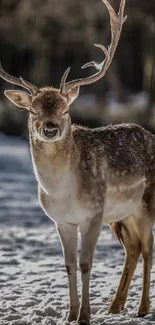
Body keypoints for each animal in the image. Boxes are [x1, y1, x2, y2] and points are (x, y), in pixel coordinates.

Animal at [0, 0, 154, 324]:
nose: (50, 128)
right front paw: (70, 314)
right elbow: (69, 264)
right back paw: (115, 306)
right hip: (121, 215)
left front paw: (84, 315)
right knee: (133, 248)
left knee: (148, 248)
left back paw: (143, 307)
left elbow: (85, 264)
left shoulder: (93, 213)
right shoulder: (61, 220)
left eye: (65, 109)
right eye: (33, 111)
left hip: (146, 203)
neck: (63, 192)